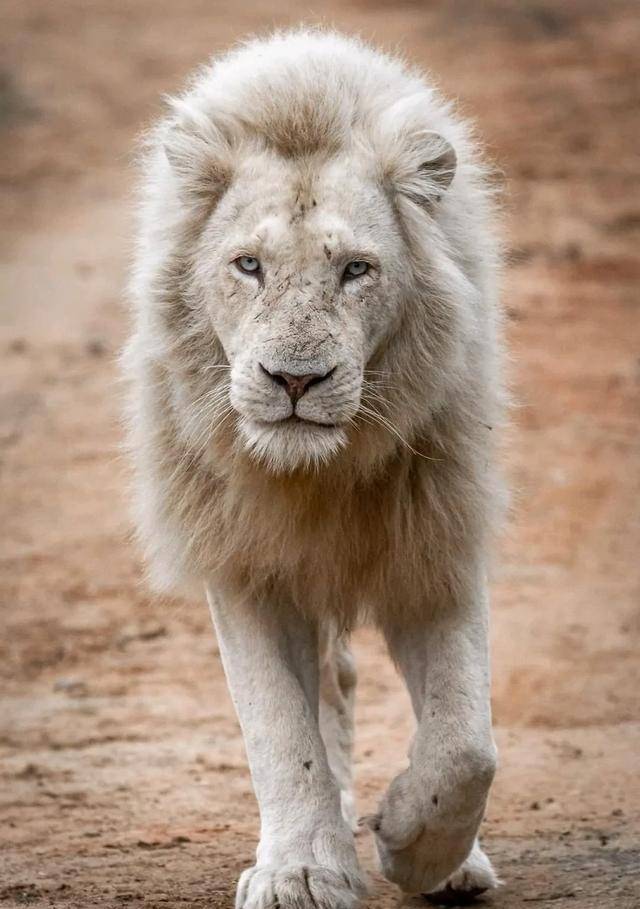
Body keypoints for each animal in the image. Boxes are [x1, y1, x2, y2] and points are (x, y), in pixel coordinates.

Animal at [124, 28, 504, 908]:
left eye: (356, 268)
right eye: (248, 265)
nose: (294, 380)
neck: (315, 476)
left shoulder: (436, 539)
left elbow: (465, 743)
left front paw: (413, 844)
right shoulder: (242, 561)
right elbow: (280, 727)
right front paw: (300, 869)